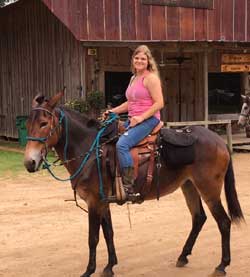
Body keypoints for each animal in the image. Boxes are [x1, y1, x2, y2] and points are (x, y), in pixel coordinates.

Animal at [24, 92, 243, 276]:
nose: (29, 162)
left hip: (209, 190)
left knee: (223, 222)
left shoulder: (94, 202)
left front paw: (89, 271)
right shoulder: (103, 201)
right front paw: (110, 266)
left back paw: (222, 265)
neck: (91, 150)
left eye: (43, 123)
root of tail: (219, 141)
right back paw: (183, 256)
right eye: (27, 125)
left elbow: (93, 238)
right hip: (189, 185)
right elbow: (109, 233)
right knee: (198, 218)